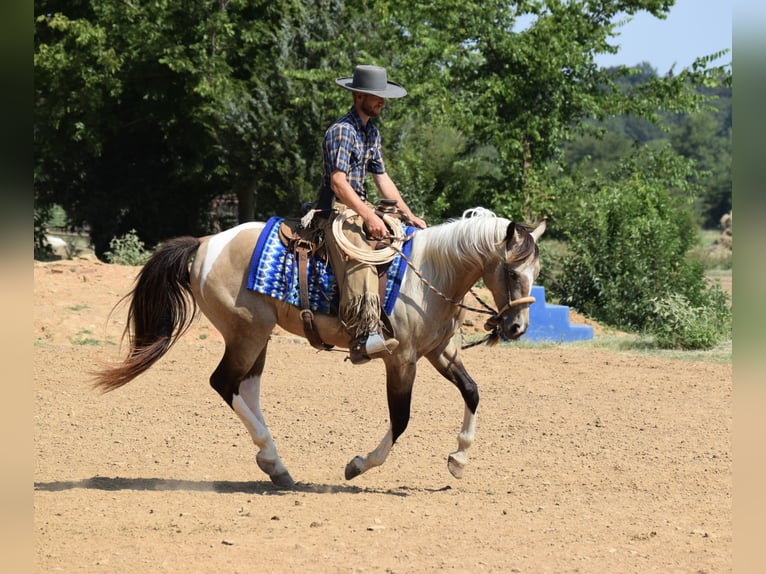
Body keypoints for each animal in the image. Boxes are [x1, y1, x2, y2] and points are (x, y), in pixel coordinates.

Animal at [93, 208, 545, 488]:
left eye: (536, 270)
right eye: (511, 270)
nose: (517, 327)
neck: (431, 273)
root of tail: (205, 244)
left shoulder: (439, 351)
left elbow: (472, 391)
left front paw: (459, 459)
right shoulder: (401, 360)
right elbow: (400, 419)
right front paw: (358, 465)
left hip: (257, 336)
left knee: (246, 388)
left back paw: (275, 464)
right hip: (247, 333)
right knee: (224, 383)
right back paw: (273, 458)